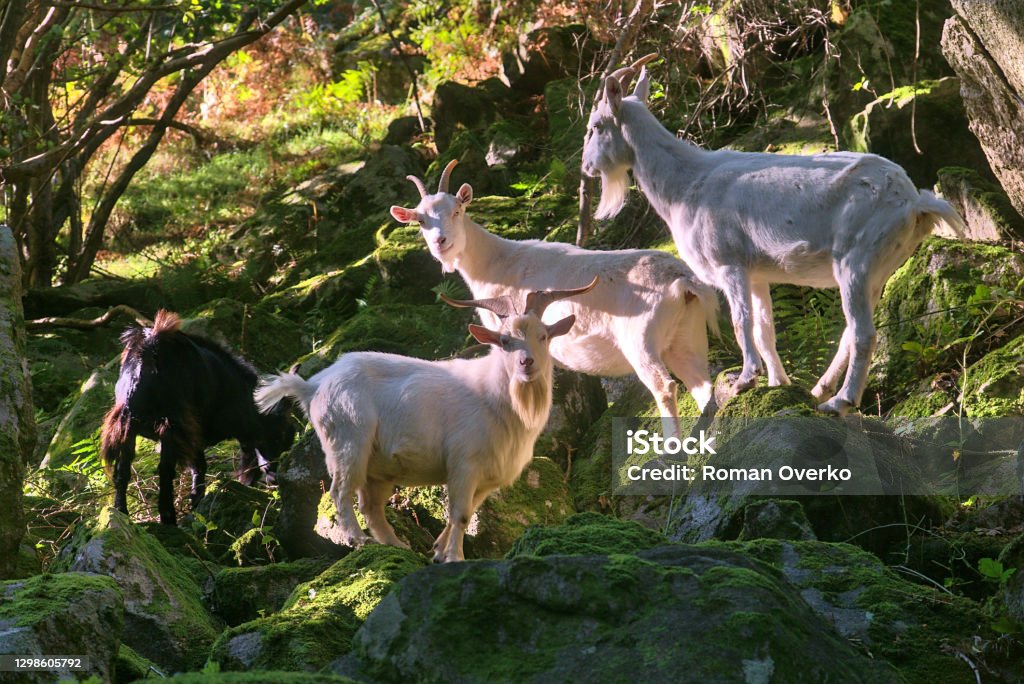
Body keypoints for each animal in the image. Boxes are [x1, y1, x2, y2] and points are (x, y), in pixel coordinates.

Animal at [100, 309, 296, 524]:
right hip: (170, 424)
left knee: (123, 470)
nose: (273, 476)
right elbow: (199, 466)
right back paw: (168, 517)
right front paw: (196, 502)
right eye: (278, 434)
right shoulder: (195, 432)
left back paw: (121, 511)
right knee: (165, 470)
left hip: (127, 424)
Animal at [251, 280, 598, 565]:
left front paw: (438, 551)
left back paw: (396, 546)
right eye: (504, 341)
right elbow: (460, 515)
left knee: (371, 506)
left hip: (379, 466)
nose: (527, 363)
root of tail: (313, 386)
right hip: (348, 440)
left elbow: (463, 514)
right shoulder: (463, 463)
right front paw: (454, 557)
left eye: (543, 336)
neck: (498, 396)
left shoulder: (488, 476)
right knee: (340, 491)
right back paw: (358, 540)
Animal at [389, 161, 720, 432]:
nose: (440, 242)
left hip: (641, 341)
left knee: (664, 386)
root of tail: (681, 279)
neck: (496, 262)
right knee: (702, 384)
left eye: (456, 211)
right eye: (420, 221)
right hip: (686, 334)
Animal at [585, 56, 966, 413]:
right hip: (878, 271)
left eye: (596, 126)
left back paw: (839, 402)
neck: (686, 184)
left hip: (855, 260)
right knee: (850, 331)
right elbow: (765, 330)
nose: (587, 167)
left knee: (863, 334)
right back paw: (818, 390)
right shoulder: (756, 275)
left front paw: (744, 380)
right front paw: (776, 383)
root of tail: (914, 203)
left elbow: (741, 322)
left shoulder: (729, 265)